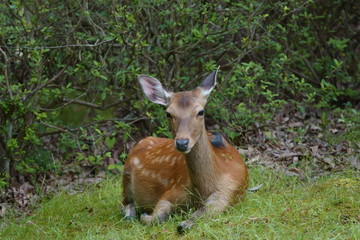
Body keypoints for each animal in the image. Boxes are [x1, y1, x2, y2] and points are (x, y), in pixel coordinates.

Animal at [122, 68, 249, 234]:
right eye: (168, 113)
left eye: (201, 112)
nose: (182, 143)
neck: (200, 192)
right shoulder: (172, 191)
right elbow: (157, 216)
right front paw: (145, 216)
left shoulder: (228, 193)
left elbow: (199, 216)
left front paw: (183, 223)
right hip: (126, 171)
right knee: (125, 202)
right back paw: (130, 215)